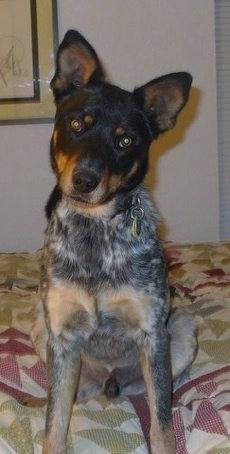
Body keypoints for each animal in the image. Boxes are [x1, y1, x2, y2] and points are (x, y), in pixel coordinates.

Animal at [31, 30, 198, 452]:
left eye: (125, 141)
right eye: (76, 122)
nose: (84, 180)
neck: (95, 232)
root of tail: (109, 383)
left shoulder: (153, 334)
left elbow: (161, 424)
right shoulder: (62, 335)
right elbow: (54, 424)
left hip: (182, 332)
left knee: (154, 398)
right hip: (43, 331)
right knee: (67, 398)